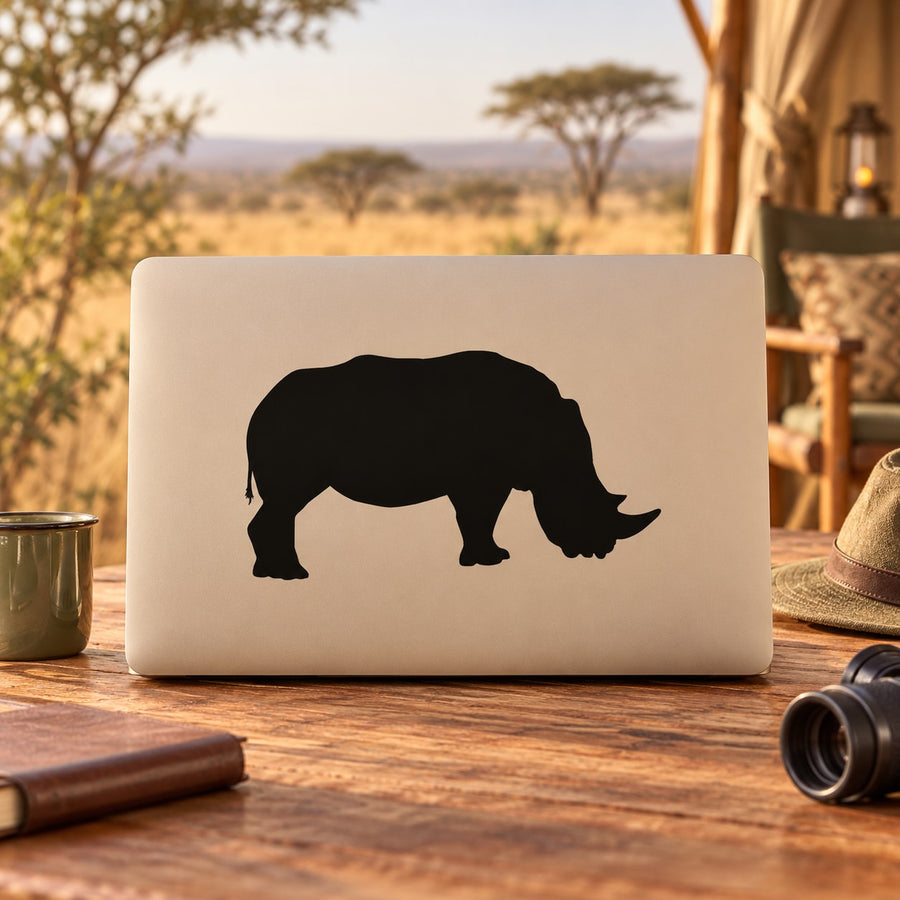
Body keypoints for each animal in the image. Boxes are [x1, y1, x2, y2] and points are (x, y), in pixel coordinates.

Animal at [245, 351, 660, 579]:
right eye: (580, 502)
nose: (601, 552)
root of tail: (260, 405)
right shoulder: (484, 478)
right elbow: (479, 516)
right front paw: (488, 561)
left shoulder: (487, 478)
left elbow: (480, 519)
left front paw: (490, 560)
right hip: (289, 425)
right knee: (287, 503)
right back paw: (290, 576)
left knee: (284, 507)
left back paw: (276, 574)